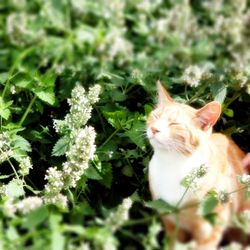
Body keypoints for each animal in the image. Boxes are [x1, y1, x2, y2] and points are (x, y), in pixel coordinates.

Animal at [146, 81, 248, 249]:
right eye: (156, 116)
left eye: (175, 124)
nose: (154, 129)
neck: (171, 164)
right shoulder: (171, 225)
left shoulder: (208, 232)